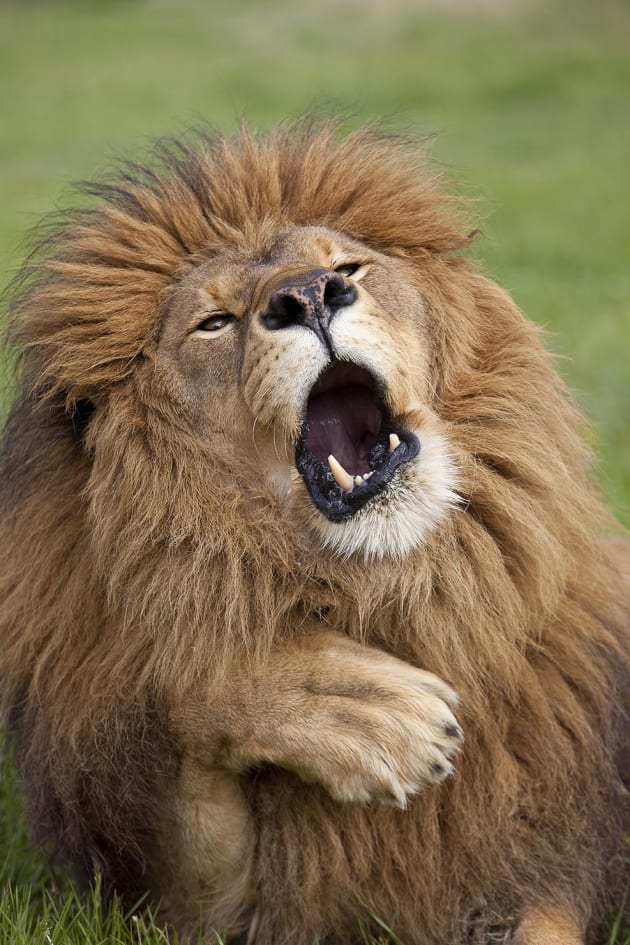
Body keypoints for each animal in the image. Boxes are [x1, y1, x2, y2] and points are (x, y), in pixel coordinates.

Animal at [0, 121, 628, 945]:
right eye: (215, 322)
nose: (307, 296)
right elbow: (196, 692)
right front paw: (367, 709)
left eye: (346, 267)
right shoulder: (191, 903)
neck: (396, 579)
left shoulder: (546, 860)